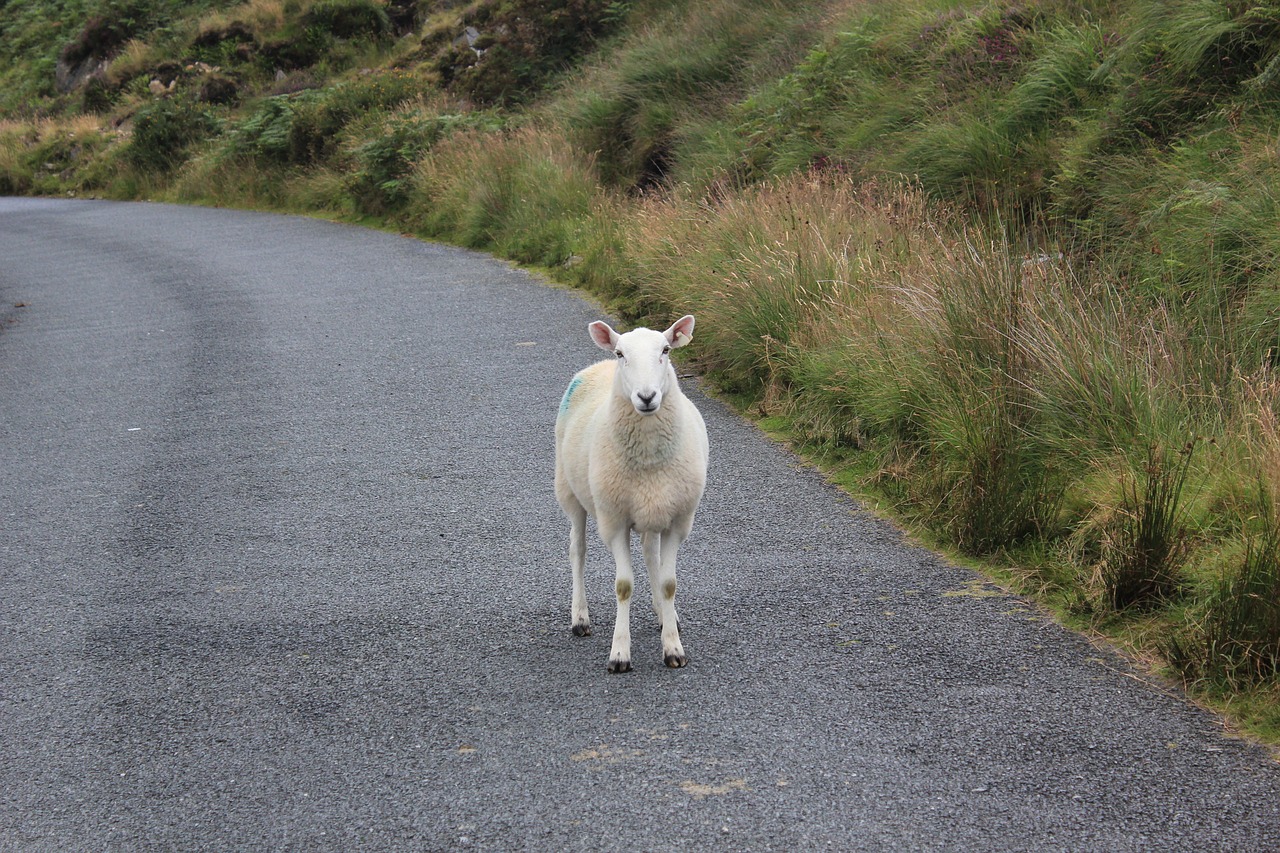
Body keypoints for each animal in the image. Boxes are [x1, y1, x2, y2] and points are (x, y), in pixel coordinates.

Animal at [552, 312, 711, 671]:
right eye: (621, 354)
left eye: (666, 350)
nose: (647, 396)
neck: (650, 459)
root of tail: (598, 365)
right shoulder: (614, 521)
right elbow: (623, 586)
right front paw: (620, 653)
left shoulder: (678, 520)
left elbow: (668, 583)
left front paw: (673, 647)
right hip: (570, 492)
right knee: (577, 550)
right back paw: (580, 618)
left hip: (652, 509)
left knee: (651, 555)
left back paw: (664, 615)